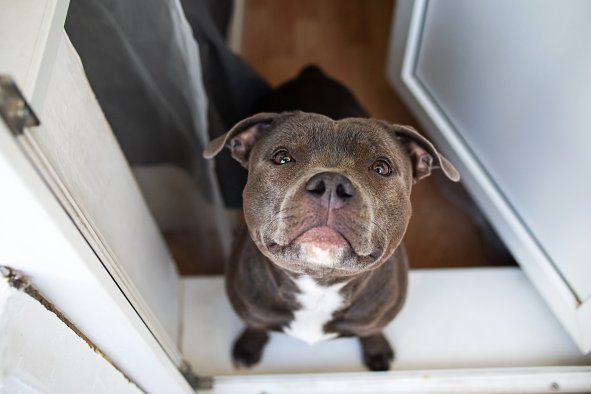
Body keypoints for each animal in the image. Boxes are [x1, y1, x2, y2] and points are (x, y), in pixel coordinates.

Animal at [202, 66, 458, 370]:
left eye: (381, 168)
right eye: (282, 157)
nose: (332, 185)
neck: (319, 285)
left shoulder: (377, 315)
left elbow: (371, 330)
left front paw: (377, 350)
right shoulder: (250, 307)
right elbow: (256, 325)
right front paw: (249, 347)